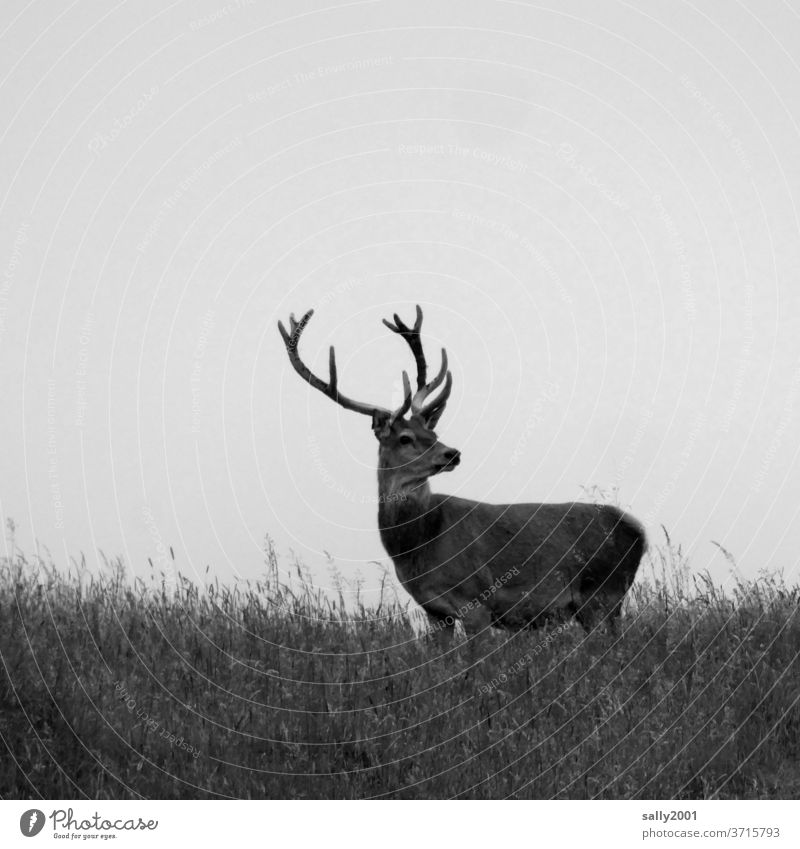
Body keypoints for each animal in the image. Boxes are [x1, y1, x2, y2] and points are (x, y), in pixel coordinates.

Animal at [278, 308, 648, 640]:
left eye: (433, 433)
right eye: (406, 438)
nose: (451, 453)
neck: (420, 543)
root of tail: (638, 530)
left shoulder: (475, 602)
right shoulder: (433, 611)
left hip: (600, 592)